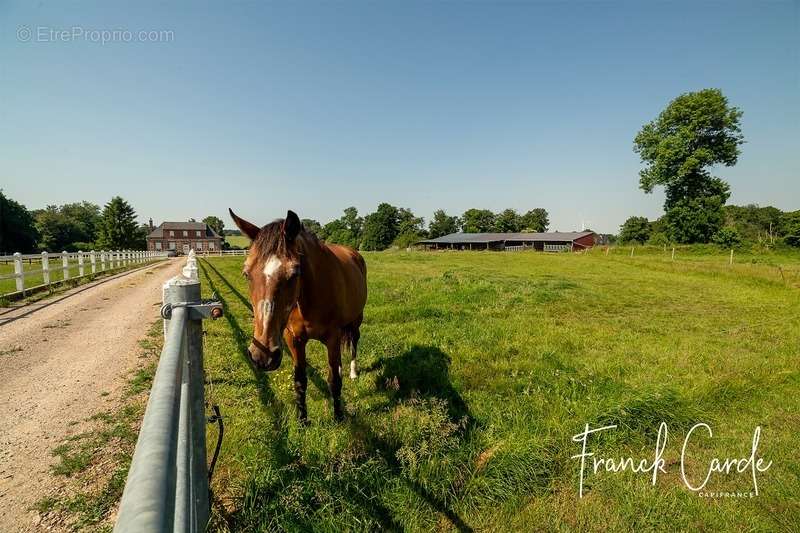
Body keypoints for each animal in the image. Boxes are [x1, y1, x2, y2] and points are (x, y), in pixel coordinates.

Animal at [227, 208, 368, 420]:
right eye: (246, 274)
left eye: (294, 273)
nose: (263, 356)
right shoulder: (294, 339)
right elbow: (300, 381)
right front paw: (303, 419)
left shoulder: (333, 338)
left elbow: (334, 380)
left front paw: (339, 417)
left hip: (356, 320)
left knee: (353, 342)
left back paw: (353, 372)